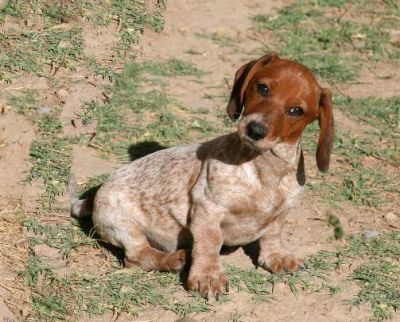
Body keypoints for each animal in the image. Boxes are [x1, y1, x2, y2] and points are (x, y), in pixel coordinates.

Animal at [69, 52, 334, 300]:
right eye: (263, 88)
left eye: (296, 111)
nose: (255, 130)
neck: (264, 168)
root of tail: (93, 196)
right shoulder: (207, 208)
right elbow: (210, 242)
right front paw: (208, 275)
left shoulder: (281, 212)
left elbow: (273, 233)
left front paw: (275, 255)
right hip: (123, 224)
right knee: (136, 258)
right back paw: (174, 259)